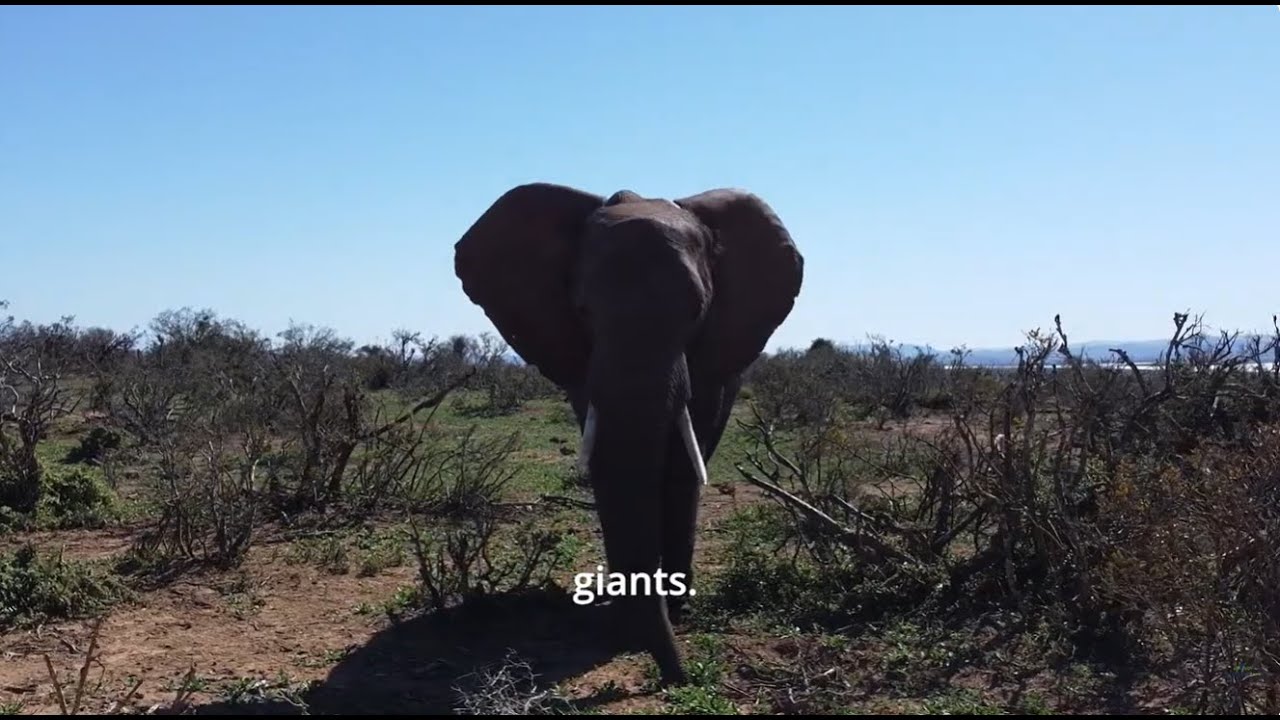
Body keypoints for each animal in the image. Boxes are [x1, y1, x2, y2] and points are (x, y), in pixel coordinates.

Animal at [452, 182, 804, 686]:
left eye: (696, 310)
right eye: (583, 310)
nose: (680, 677)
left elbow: (681, 460)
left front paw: (668, 612)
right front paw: (627, 626)